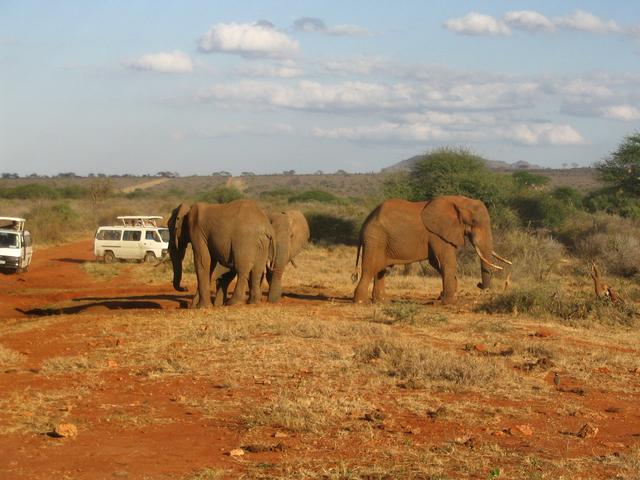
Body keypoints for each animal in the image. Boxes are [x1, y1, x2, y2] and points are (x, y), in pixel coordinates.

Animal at [352, 194, 512, 304]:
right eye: (474, 222)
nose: (478, 284)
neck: (459, 200)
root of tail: (364, 223)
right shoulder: (437, 234)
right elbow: (446, 261)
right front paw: (449, 302)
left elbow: (436, 263)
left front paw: (444, 297)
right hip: (375, 238)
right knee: (370, 268)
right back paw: (361, 302)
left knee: (381, 270)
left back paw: (382, 302)